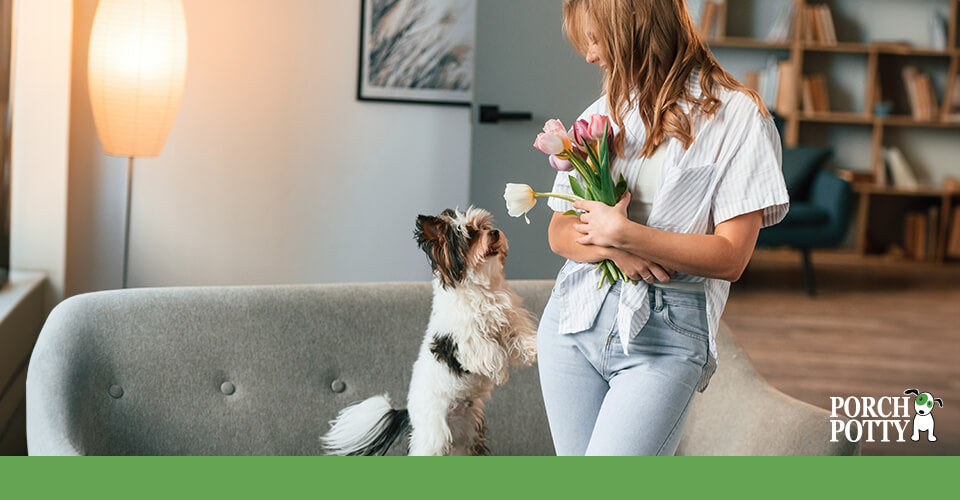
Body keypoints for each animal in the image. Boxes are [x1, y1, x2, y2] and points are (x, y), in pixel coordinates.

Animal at [322, 208, 540, 458]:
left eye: (484, 226)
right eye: (470, 235)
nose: (494, 232)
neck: (481, 289)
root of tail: (410, 413)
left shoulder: (509, 319)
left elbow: (519, 338)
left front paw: (536, 348)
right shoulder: (464, 338)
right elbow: (488, 351)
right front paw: (500, 372)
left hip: (468, 433)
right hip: (434, 435)